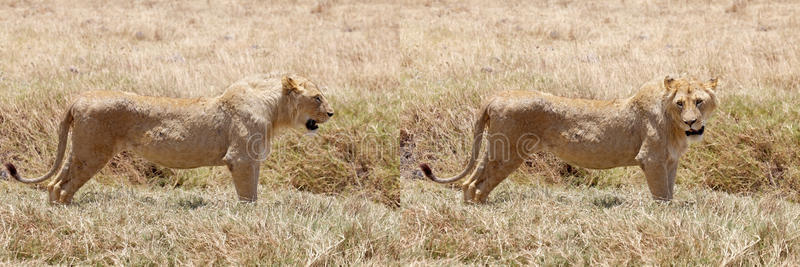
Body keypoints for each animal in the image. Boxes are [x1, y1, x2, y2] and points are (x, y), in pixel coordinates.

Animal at [3, 74, 334, 204]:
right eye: (318, 97)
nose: (331, 113)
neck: (274, 109)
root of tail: (79, 98)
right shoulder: (240, 159)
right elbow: (248, 194)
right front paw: (250, 216)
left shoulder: (250, 160)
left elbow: (252, 191)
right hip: (92, 152)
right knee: (62, 184)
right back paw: (65, 211)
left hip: (82, 150)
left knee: (57, 182)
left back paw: (60, 210)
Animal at [422, 76, 720, 204]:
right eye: (680, 103)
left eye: (699, 102)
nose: (691, 122)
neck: (676, 128)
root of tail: (497, 95)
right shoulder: (652, 159)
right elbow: (661, 195)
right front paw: (665, 216)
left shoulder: (670, 161)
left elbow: (669, 190)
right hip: (508, 152)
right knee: (478, 183)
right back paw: (481, 210)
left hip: (496, 148)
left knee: (472, 181)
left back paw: (473, 208)